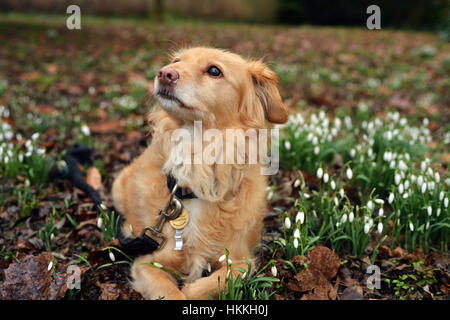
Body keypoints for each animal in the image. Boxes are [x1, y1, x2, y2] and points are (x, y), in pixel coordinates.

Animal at [112, 47, 288, 300]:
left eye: (214, 71)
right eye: (176, 61)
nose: (164, 73)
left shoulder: (241, 260)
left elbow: (217, 281)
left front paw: (192, 289)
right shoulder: (148, 263)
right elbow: (171, 294)